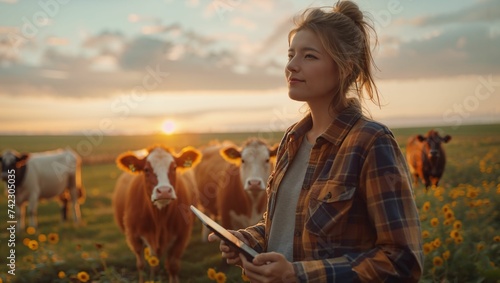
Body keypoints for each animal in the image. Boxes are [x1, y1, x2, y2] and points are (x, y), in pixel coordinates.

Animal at [112, 145, 200, 282]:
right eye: (146, 169)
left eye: (174, 167)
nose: (164, 191)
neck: (159, 219)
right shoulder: (134, 237)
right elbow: (141, 265)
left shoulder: (182, 236)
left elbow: (173, 266)